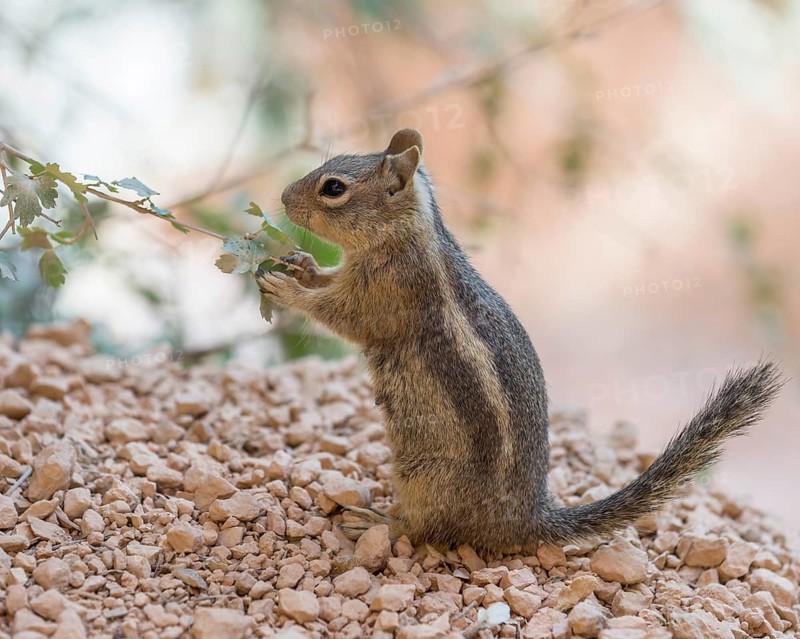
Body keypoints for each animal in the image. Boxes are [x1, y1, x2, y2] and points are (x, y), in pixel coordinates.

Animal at [256, 128, 783, 552]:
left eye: (334, 188)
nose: (281, 195)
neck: (406, 234)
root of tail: (525, 519)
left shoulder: (388, 294)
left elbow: (340, 316)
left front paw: (285, 288)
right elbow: (326, 282)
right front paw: (300, 265)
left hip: (425, 478)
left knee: (425, 531)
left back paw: (378, 521)